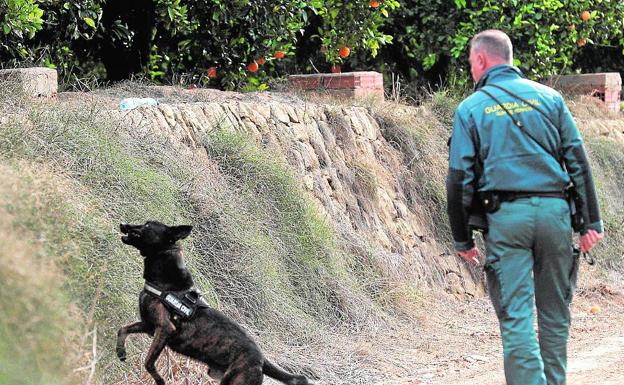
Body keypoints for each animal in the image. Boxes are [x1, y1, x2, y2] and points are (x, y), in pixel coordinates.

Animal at [115, 219, 310, 384]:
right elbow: (122, 329)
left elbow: (148, 362)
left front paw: (160, 380)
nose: (123, 224)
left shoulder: (164, 328)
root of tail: (261, 359)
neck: (166, 282)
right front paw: (120, 351)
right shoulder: (149, 325)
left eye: (147, 225)